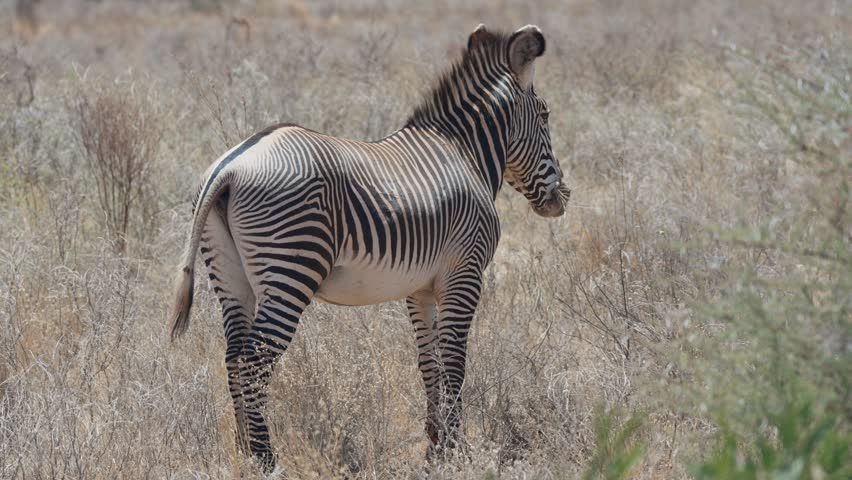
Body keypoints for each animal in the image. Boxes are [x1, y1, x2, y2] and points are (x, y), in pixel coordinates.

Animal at [170, 24, 569, 472]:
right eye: (545, 115)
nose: (561, 199)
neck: (464, 154)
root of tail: (232, 167)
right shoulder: (464, 275)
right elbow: (454, 361)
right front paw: (455, 451)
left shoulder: (420, 288)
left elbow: (429, 363)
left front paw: (435, 448)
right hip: (292, 267)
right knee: (254, 361)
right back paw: (267, 460)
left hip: (232, 278)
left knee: (234, 356)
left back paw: (244, 454)